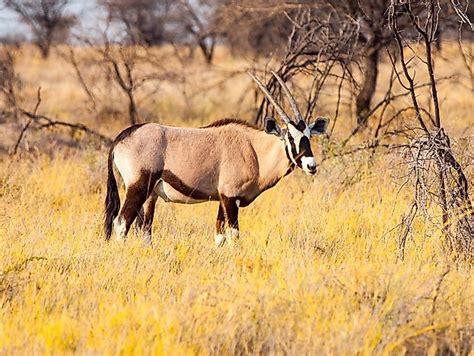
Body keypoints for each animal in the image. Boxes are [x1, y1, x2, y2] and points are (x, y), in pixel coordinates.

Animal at [103, 71, 330, 245]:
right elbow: (233, 235)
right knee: (121, 223)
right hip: (138, 188)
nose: (311, 165)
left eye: (309, 136)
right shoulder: (230, 198)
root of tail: (122, 137)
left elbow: (219, 236)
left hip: (151, 195)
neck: (254, 150)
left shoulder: (223, 199)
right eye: (290, 137)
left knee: (144, 228)